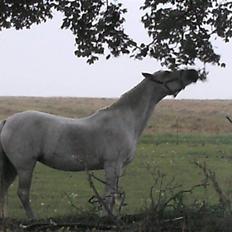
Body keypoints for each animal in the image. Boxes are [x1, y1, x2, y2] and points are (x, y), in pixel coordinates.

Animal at [0, 68, 202, 218]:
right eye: (168, 71)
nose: (194, 72)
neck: (125, 119)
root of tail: (8, 121)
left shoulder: (119, 168)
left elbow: (113, 195)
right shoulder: (112, 165)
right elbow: (109, 196)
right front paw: (107, 218)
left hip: (12, 168)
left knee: (4, 190)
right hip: (25, 166)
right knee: (22, 194)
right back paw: (32, 219)